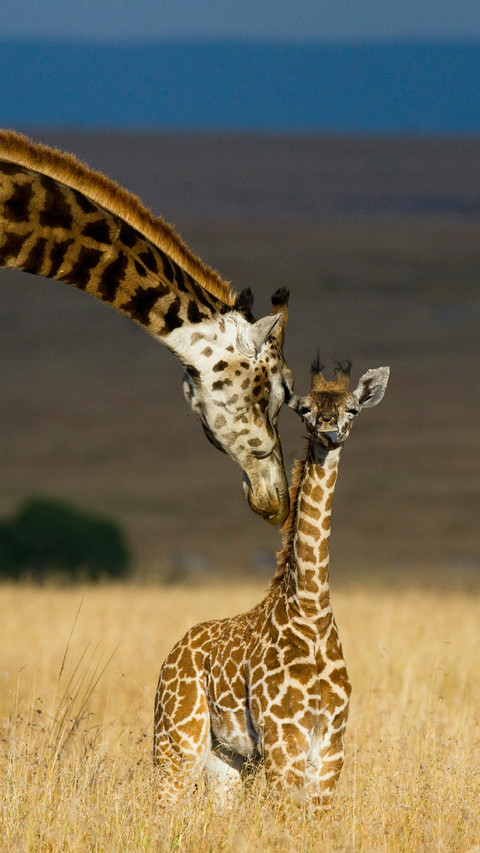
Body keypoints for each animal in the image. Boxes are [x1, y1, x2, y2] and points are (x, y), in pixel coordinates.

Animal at [153, 359, 389, 810]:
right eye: (305, 409)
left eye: (352, 409)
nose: (329, 431)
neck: (311, 609)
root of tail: (174, 650)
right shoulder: (284, 739)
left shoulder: (330, 747)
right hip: (177, 737)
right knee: (162, 804)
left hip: (227, 757)